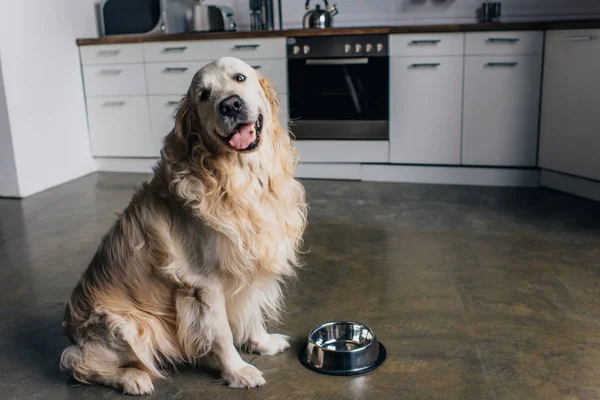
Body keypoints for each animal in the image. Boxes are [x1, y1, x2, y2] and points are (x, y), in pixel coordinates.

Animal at [60, 56, 308, 394]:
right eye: (204, 95)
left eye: (239, 77)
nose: (230, 105)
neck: (240, 178)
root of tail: (71, 330)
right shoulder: (205, 284)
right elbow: (222, 334)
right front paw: (237, 371)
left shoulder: (249, 263)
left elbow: (252, 311)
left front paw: (262, 343)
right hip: (127, 325)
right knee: (79, 364)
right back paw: (132, 378)